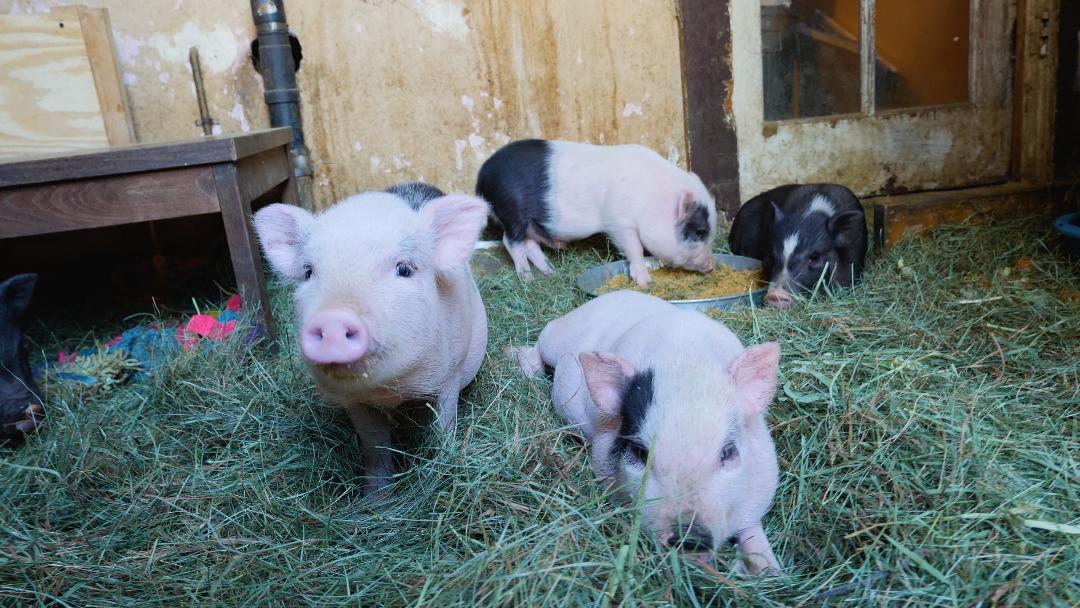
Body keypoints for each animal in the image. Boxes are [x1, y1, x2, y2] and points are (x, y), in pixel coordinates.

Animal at [252, 183, 489, 493]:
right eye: (308, 272)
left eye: (404, 268)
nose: (333, 317)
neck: (390, 393)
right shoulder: (354, 402)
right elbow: (374, 444)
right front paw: (374, 498)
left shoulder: (450, 375)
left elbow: (444, 426)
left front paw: (443, 466)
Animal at [476, 139, 718, 287]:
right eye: (700, 231)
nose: (710, 266)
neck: (652, 201)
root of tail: (483, 175)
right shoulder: (618, 223)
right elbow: (635, 249)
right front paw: (645, 282)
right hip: (512, 212)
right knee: (510, 242)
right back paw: (527, 279)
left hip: (531, 223)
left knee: (530, 245)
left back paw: (550, 273)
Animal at [512, 290, 782, 575]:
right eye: (640, 453)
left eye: (729, 451)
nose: (690, 538)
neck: (685, 361)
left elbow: (752, 529)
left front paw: (772, 572)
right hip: (557, 337)